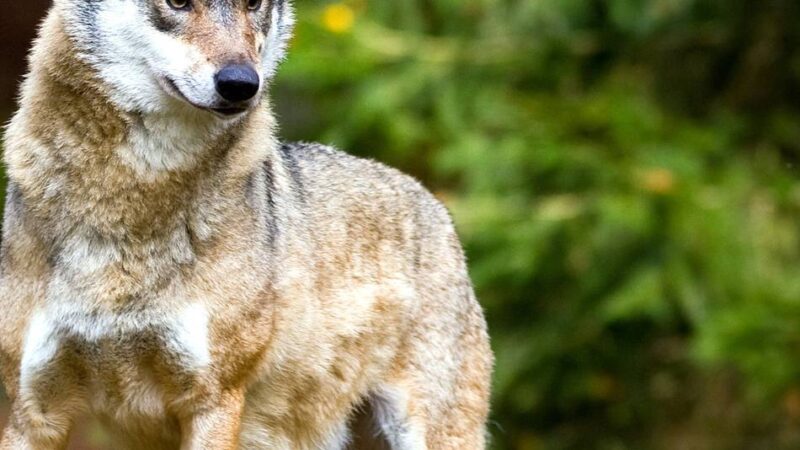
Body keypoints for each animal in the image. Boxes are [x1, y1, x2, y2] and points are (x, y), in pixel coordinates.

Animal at [0, 0, 493, 449]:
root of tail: (432, 201)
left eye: (252, 3)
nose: (241, 84)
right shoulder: (32, 412)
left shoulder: (215, 400)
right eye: (177, 1)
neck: (127, 208)